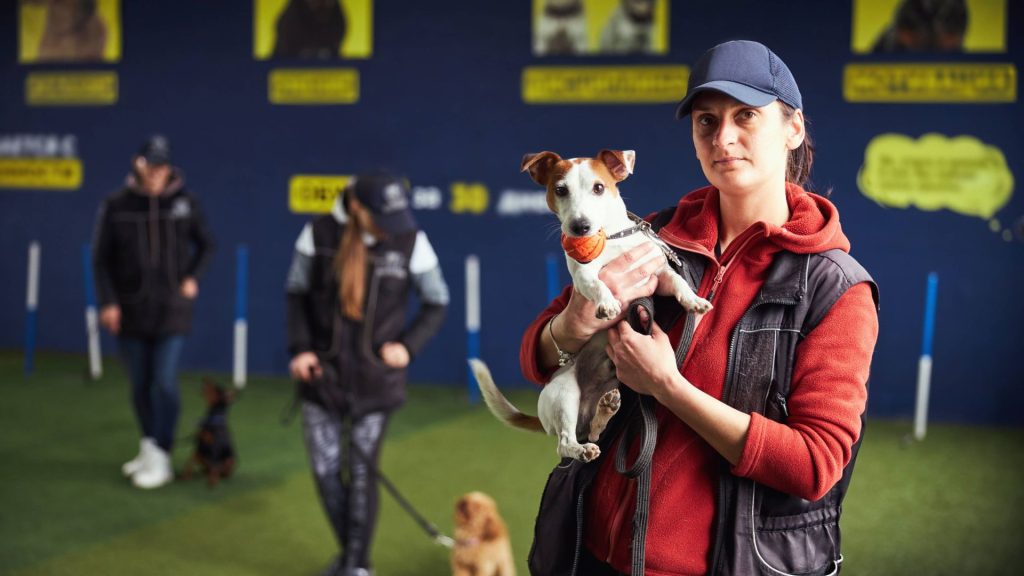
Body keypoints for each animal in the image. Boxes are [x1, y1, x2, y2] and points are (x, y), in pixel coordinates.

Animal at [471, 148, 712, 461]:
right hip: (565, 392)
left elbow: (678, 281)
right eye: (560, 190)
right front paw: (607, 302)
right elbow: (598, 284)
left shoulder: (658, 272)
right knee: (565, 441)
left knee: (596, 430)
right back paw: (581, 448)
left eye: (599, 188)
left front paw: (694, 301)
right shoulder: (584, 275)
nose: (580, 226)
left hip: (618, 386)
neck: (609, 239)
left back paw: (604, 411)